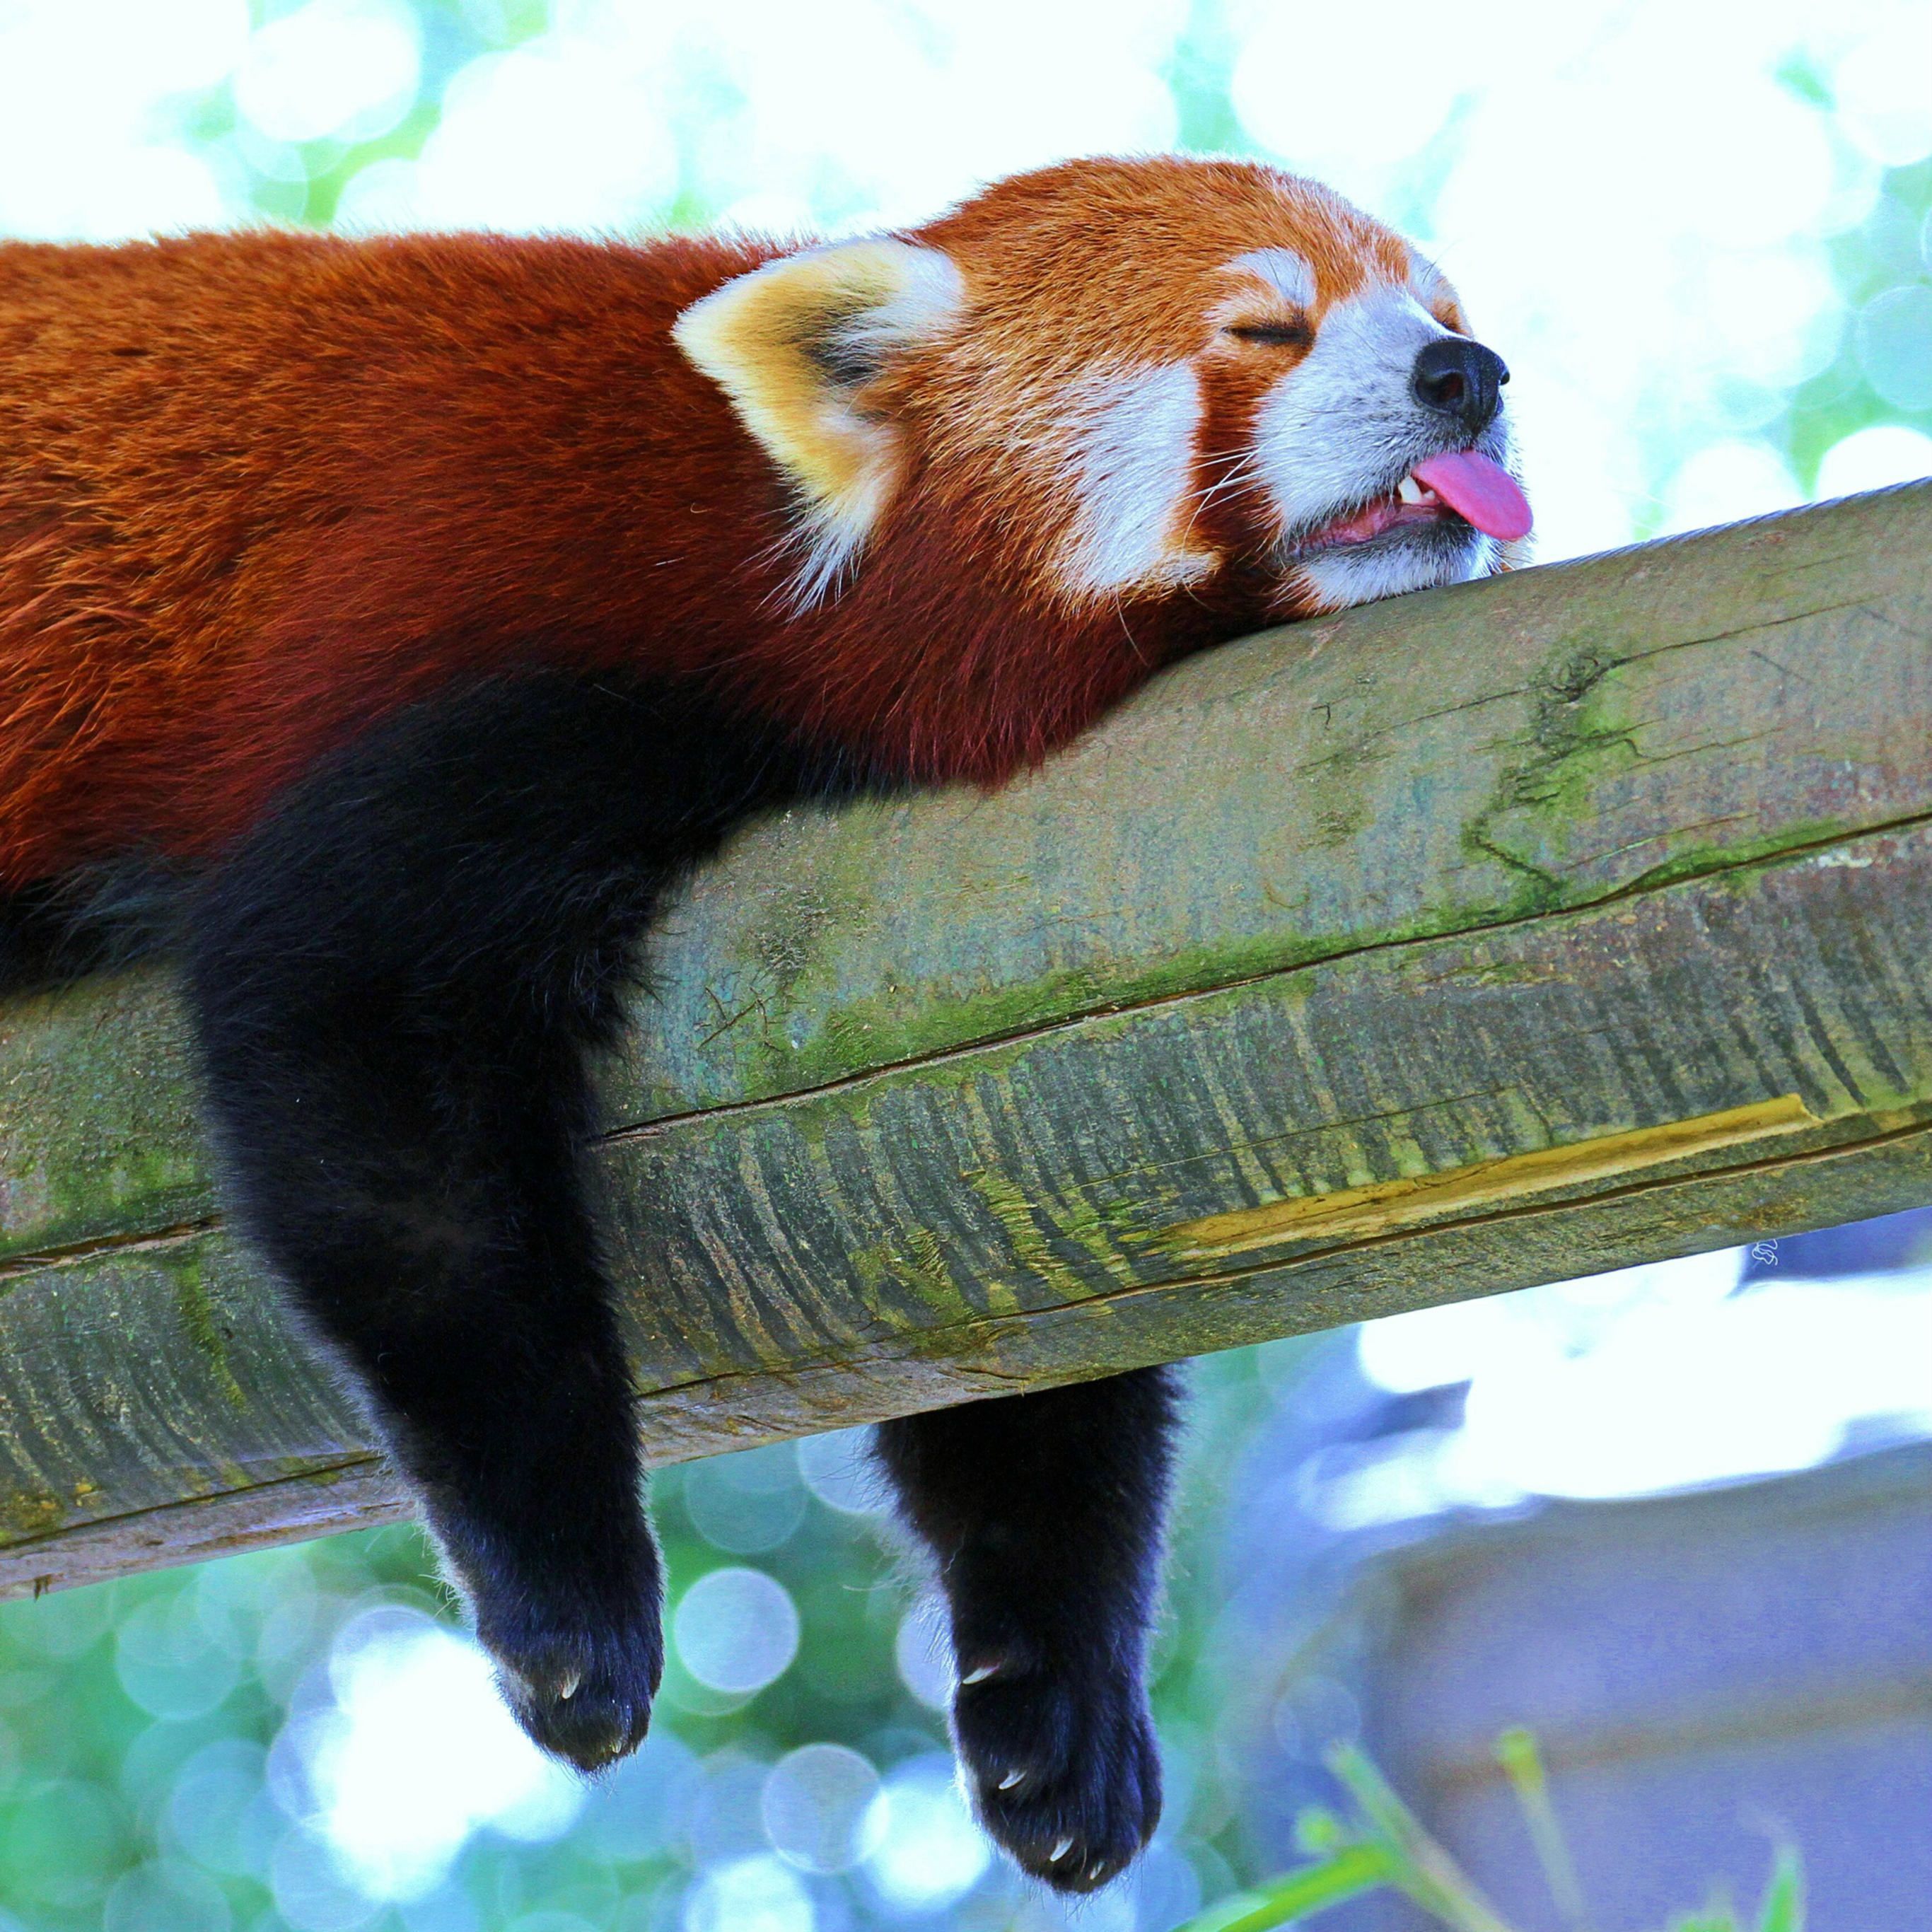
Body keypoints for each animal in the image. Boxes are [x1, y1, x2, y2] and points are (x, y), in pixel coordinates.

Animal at [0, 154, 1527, 1892]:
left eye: (1440, 308)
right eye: (1265, 328)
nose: (1466, 377)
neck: (746, 519)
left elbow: (1012, 1285)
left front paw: (1055, 1684)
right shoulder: (466, 635)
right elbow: (364, 1074)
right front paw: (571, 1598)